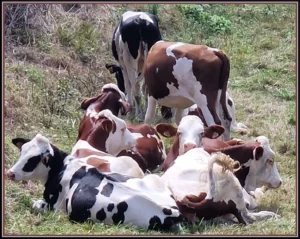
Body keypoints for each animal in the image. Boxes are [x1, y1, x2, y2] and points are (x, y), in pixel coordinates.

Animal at [6, 134, 183, 231]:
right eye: (22, 152)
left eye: (33, 159)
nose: (10, 173)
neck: (62, 167)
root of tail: (172, 210)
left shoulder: (56, 207)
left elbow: (36, 204)